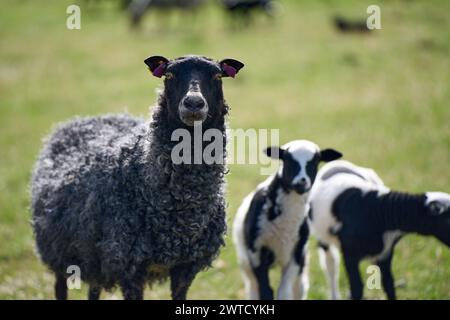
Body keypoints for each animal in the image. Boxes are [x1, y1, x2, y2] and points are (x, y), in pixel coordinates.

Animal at [30, 55, 244, 300]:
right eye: (169, 75)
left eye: (217, 76)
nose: (193, 103)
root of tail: (81, 120)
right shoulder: (129, 265)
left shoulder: (185, 267)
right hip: (58, 251)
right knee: (60, 287)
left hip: (94, 257)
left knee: (93, 289)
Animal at [234, 141, 342, 300]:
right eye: (287, 159)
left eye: (316, 161)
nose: (301, 182)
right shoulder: (256, 251)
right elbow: (265, 292)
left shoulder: (296, 254)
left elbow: (284, 293)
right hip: (246, 262)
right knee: (253, 288)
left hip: (301, 262)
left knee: (299, 289)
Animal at [308, 160, 450, 300]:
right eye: (448, 220)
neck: (379, 211)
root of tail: (336, 163)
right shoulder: (349, 253)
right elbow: (357, 288)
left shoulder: (386, 252)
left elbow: (388, 284)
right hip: (323, 238)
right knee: (330, 264)